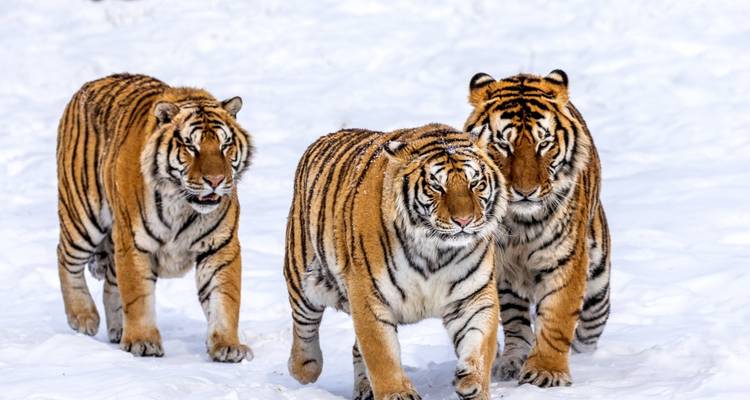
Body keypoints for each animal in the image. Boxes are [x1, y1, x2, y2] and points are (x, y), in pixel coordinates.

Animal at [56, 73, 254, 362]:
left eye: (225, 145)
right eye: (190, 146)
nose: (216, 180)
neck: (183, 205)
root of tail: (89, 85)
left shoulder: (220, 246)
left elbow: (225, 297)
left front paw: (227, 345)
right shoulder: (134, 243)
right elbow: (138, 296)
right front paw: (143, 342)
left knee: (111, 283)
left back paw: (117, 330)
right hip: (83, 215)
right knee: (65, 256)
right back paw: (83, 317)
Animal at [283, 123, 508, 400]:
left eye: (475, 183)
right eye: (436, 186)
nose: (464, 220)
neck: (436, 251)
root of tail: (328, 136)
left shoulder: (474, 297)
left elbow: (480, 342)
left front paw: (472, 381)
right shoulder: (369, 297)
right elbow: (382, 354)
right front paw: (398, 393)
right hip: (303, 278)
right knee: (304, 327)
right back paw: (304, 368)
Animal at [463, 70, 611, 387]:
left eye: (544, 144)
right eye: (503, 145)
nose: (525, 192)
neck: (520, 224)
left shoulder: (565, 262)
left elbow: (557, 319)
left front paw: (546, 372)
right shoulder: (500, 267)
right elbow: (514, 319)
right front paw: (517, 360)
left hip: (598, 290)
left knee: (588, 330)